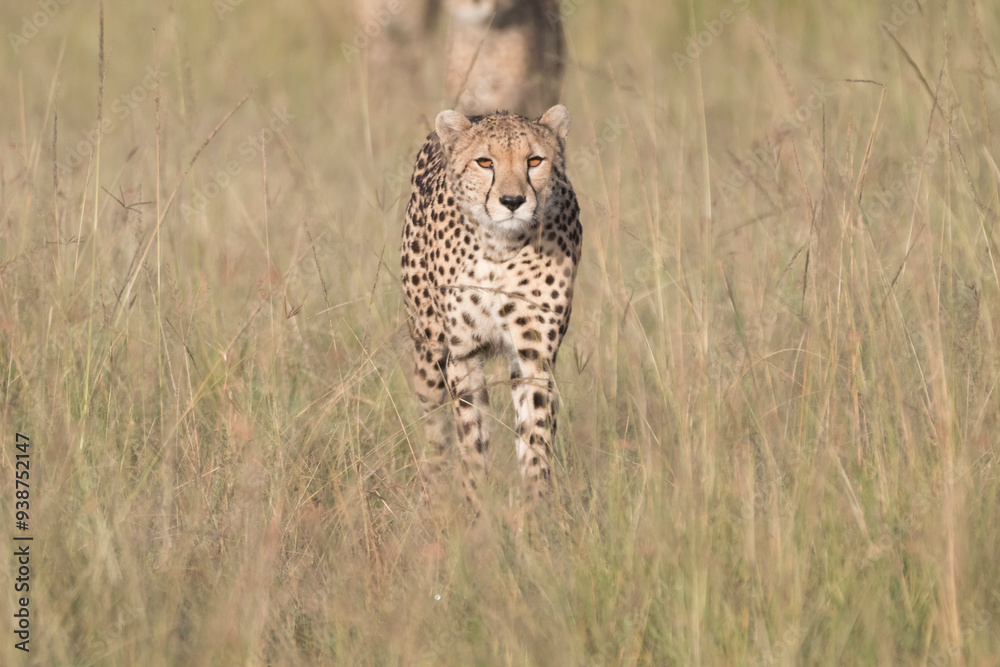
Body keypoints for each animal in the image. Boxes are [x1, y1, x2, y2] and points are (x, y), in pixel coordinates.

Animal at [400, 105, 581, 508]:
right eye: (485, 162)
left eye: (534, 161)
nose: (512, 202)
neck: (500, 247)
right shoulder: (463, 353)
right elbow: (471, 436)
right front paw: (476, 504)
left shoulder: (534, 355)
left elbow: (535, 434)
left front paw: (536, 506)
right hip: (429, 350)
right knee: (433, 425)